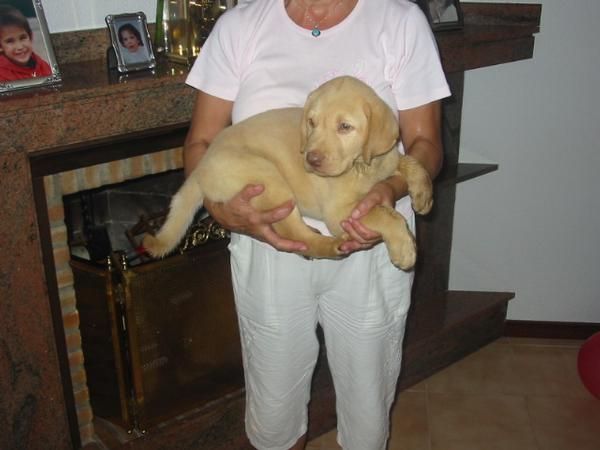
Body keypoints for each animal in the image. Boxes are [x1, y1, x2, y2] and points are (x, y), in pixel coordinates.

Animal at [145, 75, 436, 268]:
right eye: (312, 123)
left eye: (345, 127)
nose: (312, 159)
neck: (363, 167)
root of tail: (200, 170)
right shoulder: (339, 212)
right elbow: (388, 215)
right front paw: (405, 250)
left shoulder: (387, 157)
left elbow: (410, 161)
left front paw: (423, 195)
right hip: (270, 181)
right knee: (295, 234)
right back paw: (331, 245)